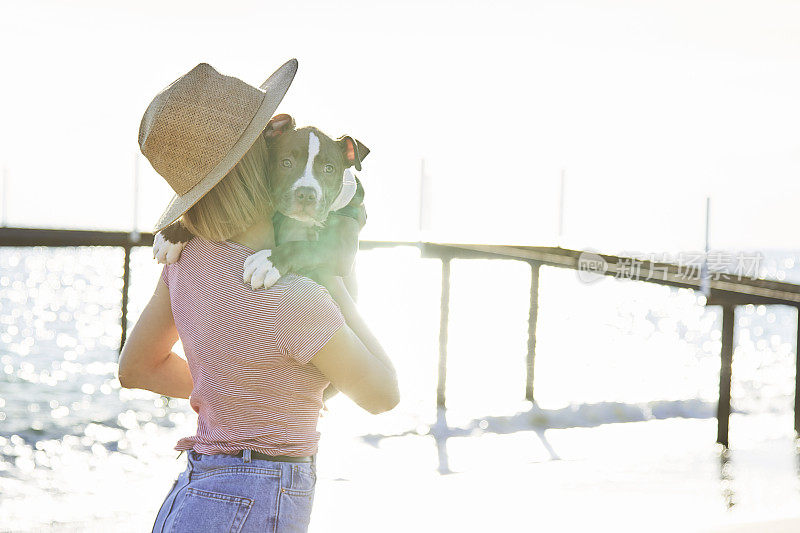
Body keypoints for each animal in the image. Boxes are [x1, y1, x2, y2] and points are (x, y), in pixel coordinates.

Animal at [153, 112, 368, 294]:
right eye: (286, 163)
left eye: (329, 169)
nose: (306, 194)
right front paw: (172, 233)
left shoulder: (342, 250)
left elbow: (304, 247)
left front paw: (268, 261)